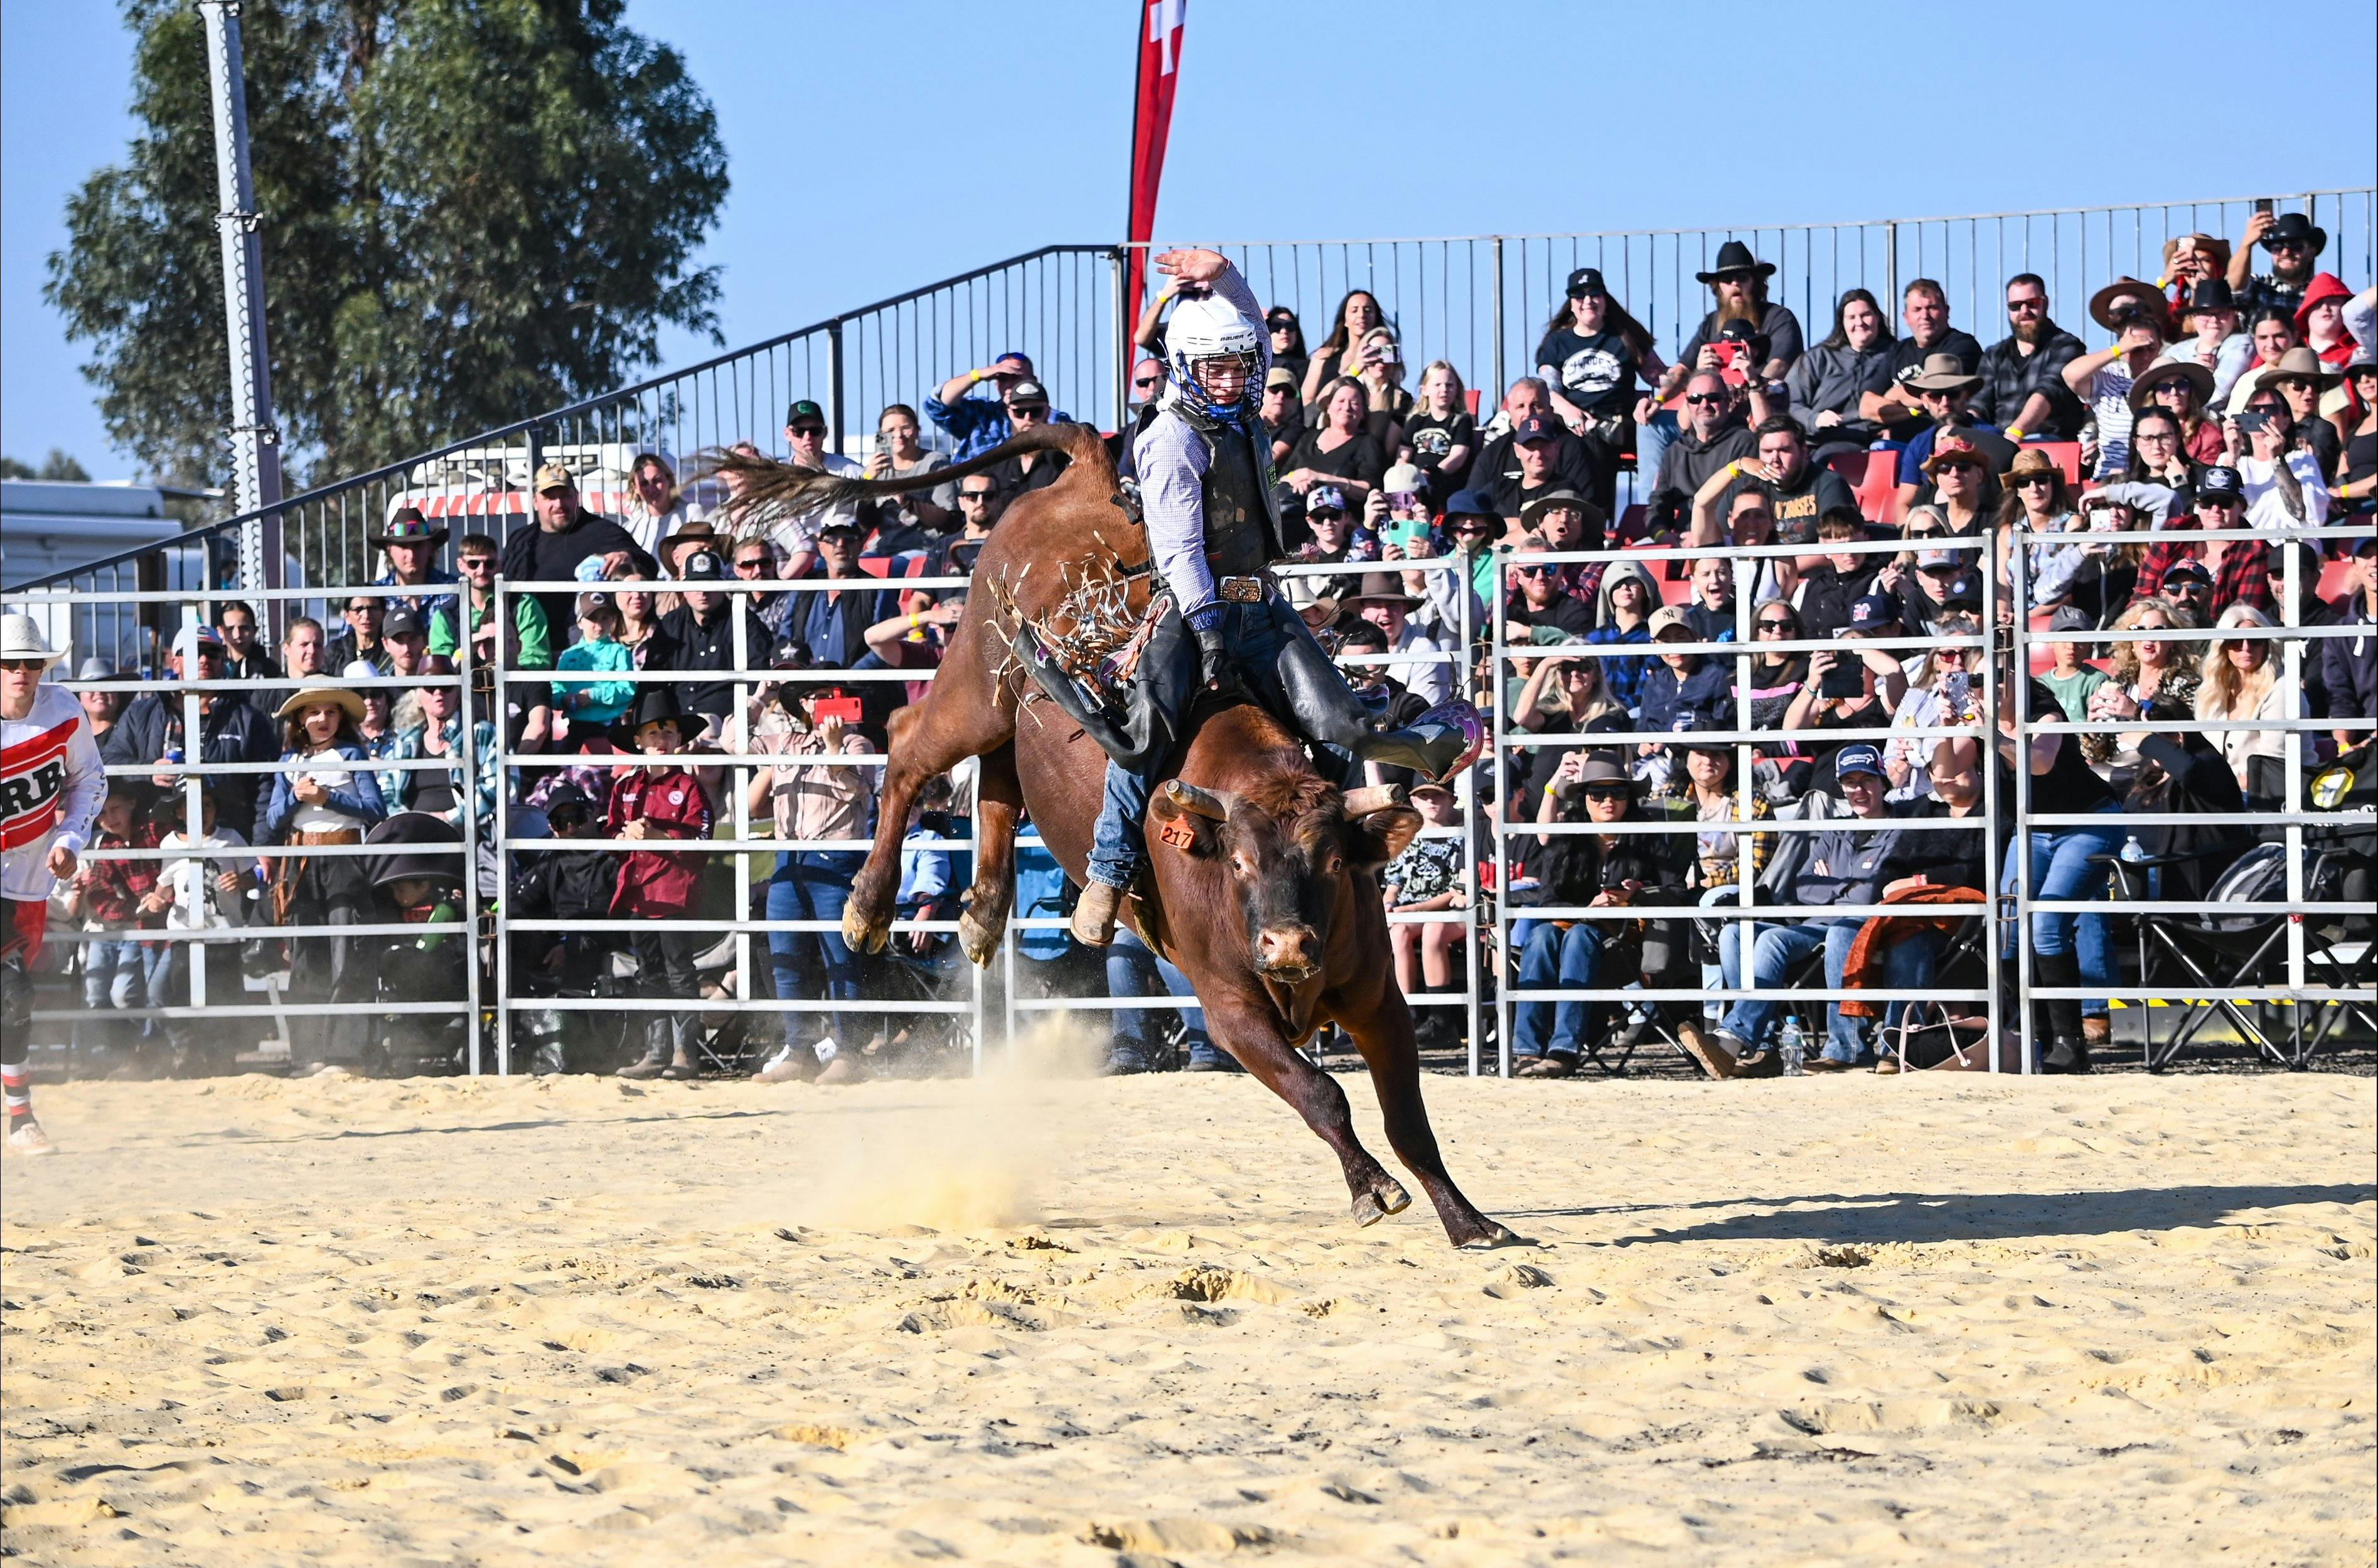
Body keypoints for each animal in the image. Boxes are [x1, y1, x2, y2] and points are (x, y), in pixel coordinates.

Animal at [716, 426, 1516, 1248]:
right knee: (909, 745)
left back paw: (982, 914)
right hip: (975, 680)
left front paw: (1469, 1220)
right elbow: (1322, 1092)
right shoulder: (1231, 1011)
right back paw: (870, 908)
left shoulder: (1380, 998)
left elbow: (1408, 1120)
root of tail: (1087, 476)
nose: (1288, 946)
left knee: (998, 783)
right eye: (1238, 862)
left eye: (1331, 862)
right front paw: (1373, 1189)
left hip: (1010, 713)